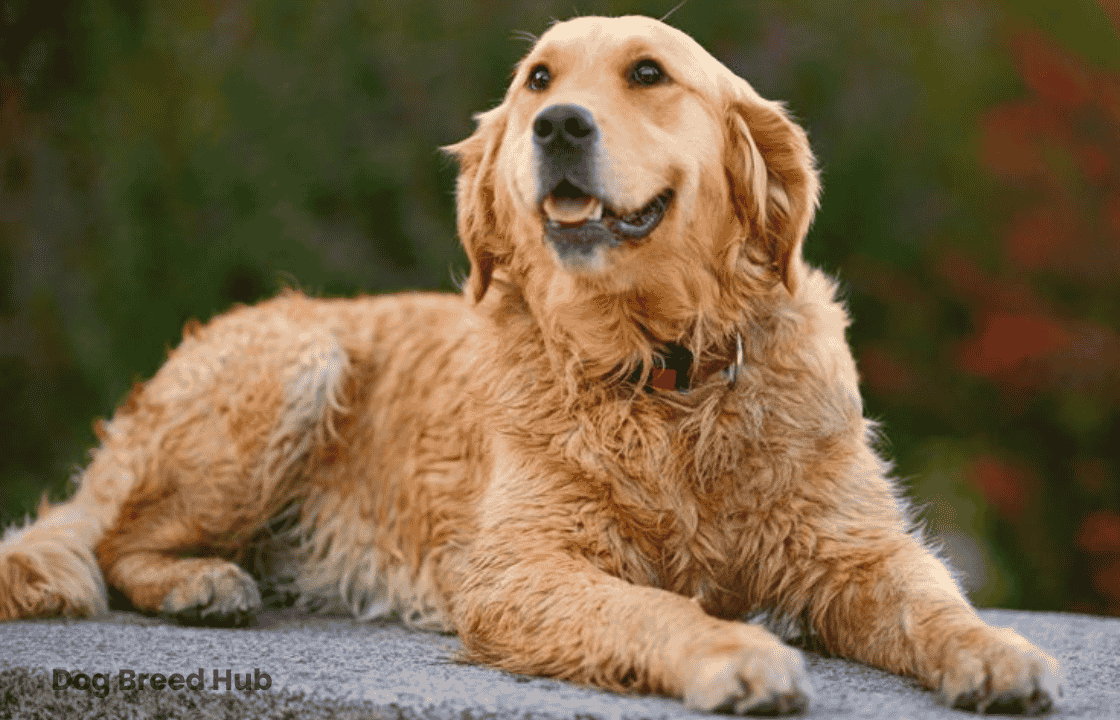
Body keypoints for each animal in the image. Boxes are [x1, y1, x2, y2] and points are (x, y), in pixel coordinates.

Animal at [2, 15, 1066, 716]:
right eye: (538, 81)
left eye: (649, 73)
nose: (560, 126)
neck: (665, 371)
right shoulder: (524, 569)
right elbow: (651, 607)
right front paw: (734, 653)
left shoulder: (855, 549)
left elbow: (934, 603)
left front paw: (998, 653)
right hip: (296, 362)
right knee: (110, 541)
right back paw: (201, 583)